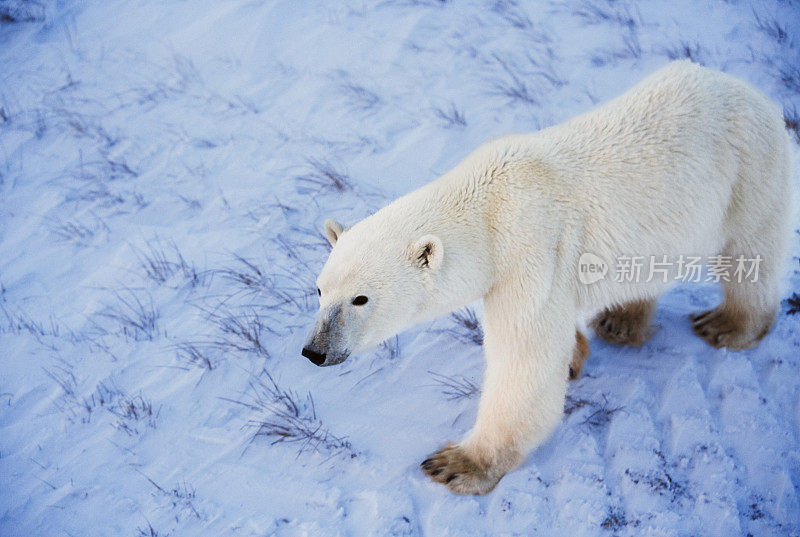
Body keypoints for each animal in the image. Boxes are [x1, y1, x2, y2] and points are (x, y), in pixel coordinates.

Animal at [304, 60, 792, 492]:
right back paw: (620, 320)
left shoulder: (532, 251)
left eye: (360, 299)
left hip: (749, 173)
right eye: (320, 290)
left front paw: (457, 464)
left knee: (751, 253)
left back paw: (726, 325)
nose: (314, 351)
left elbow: (525, 359)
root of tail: (752, 91)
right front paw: (576, 355)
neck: (488, 207)